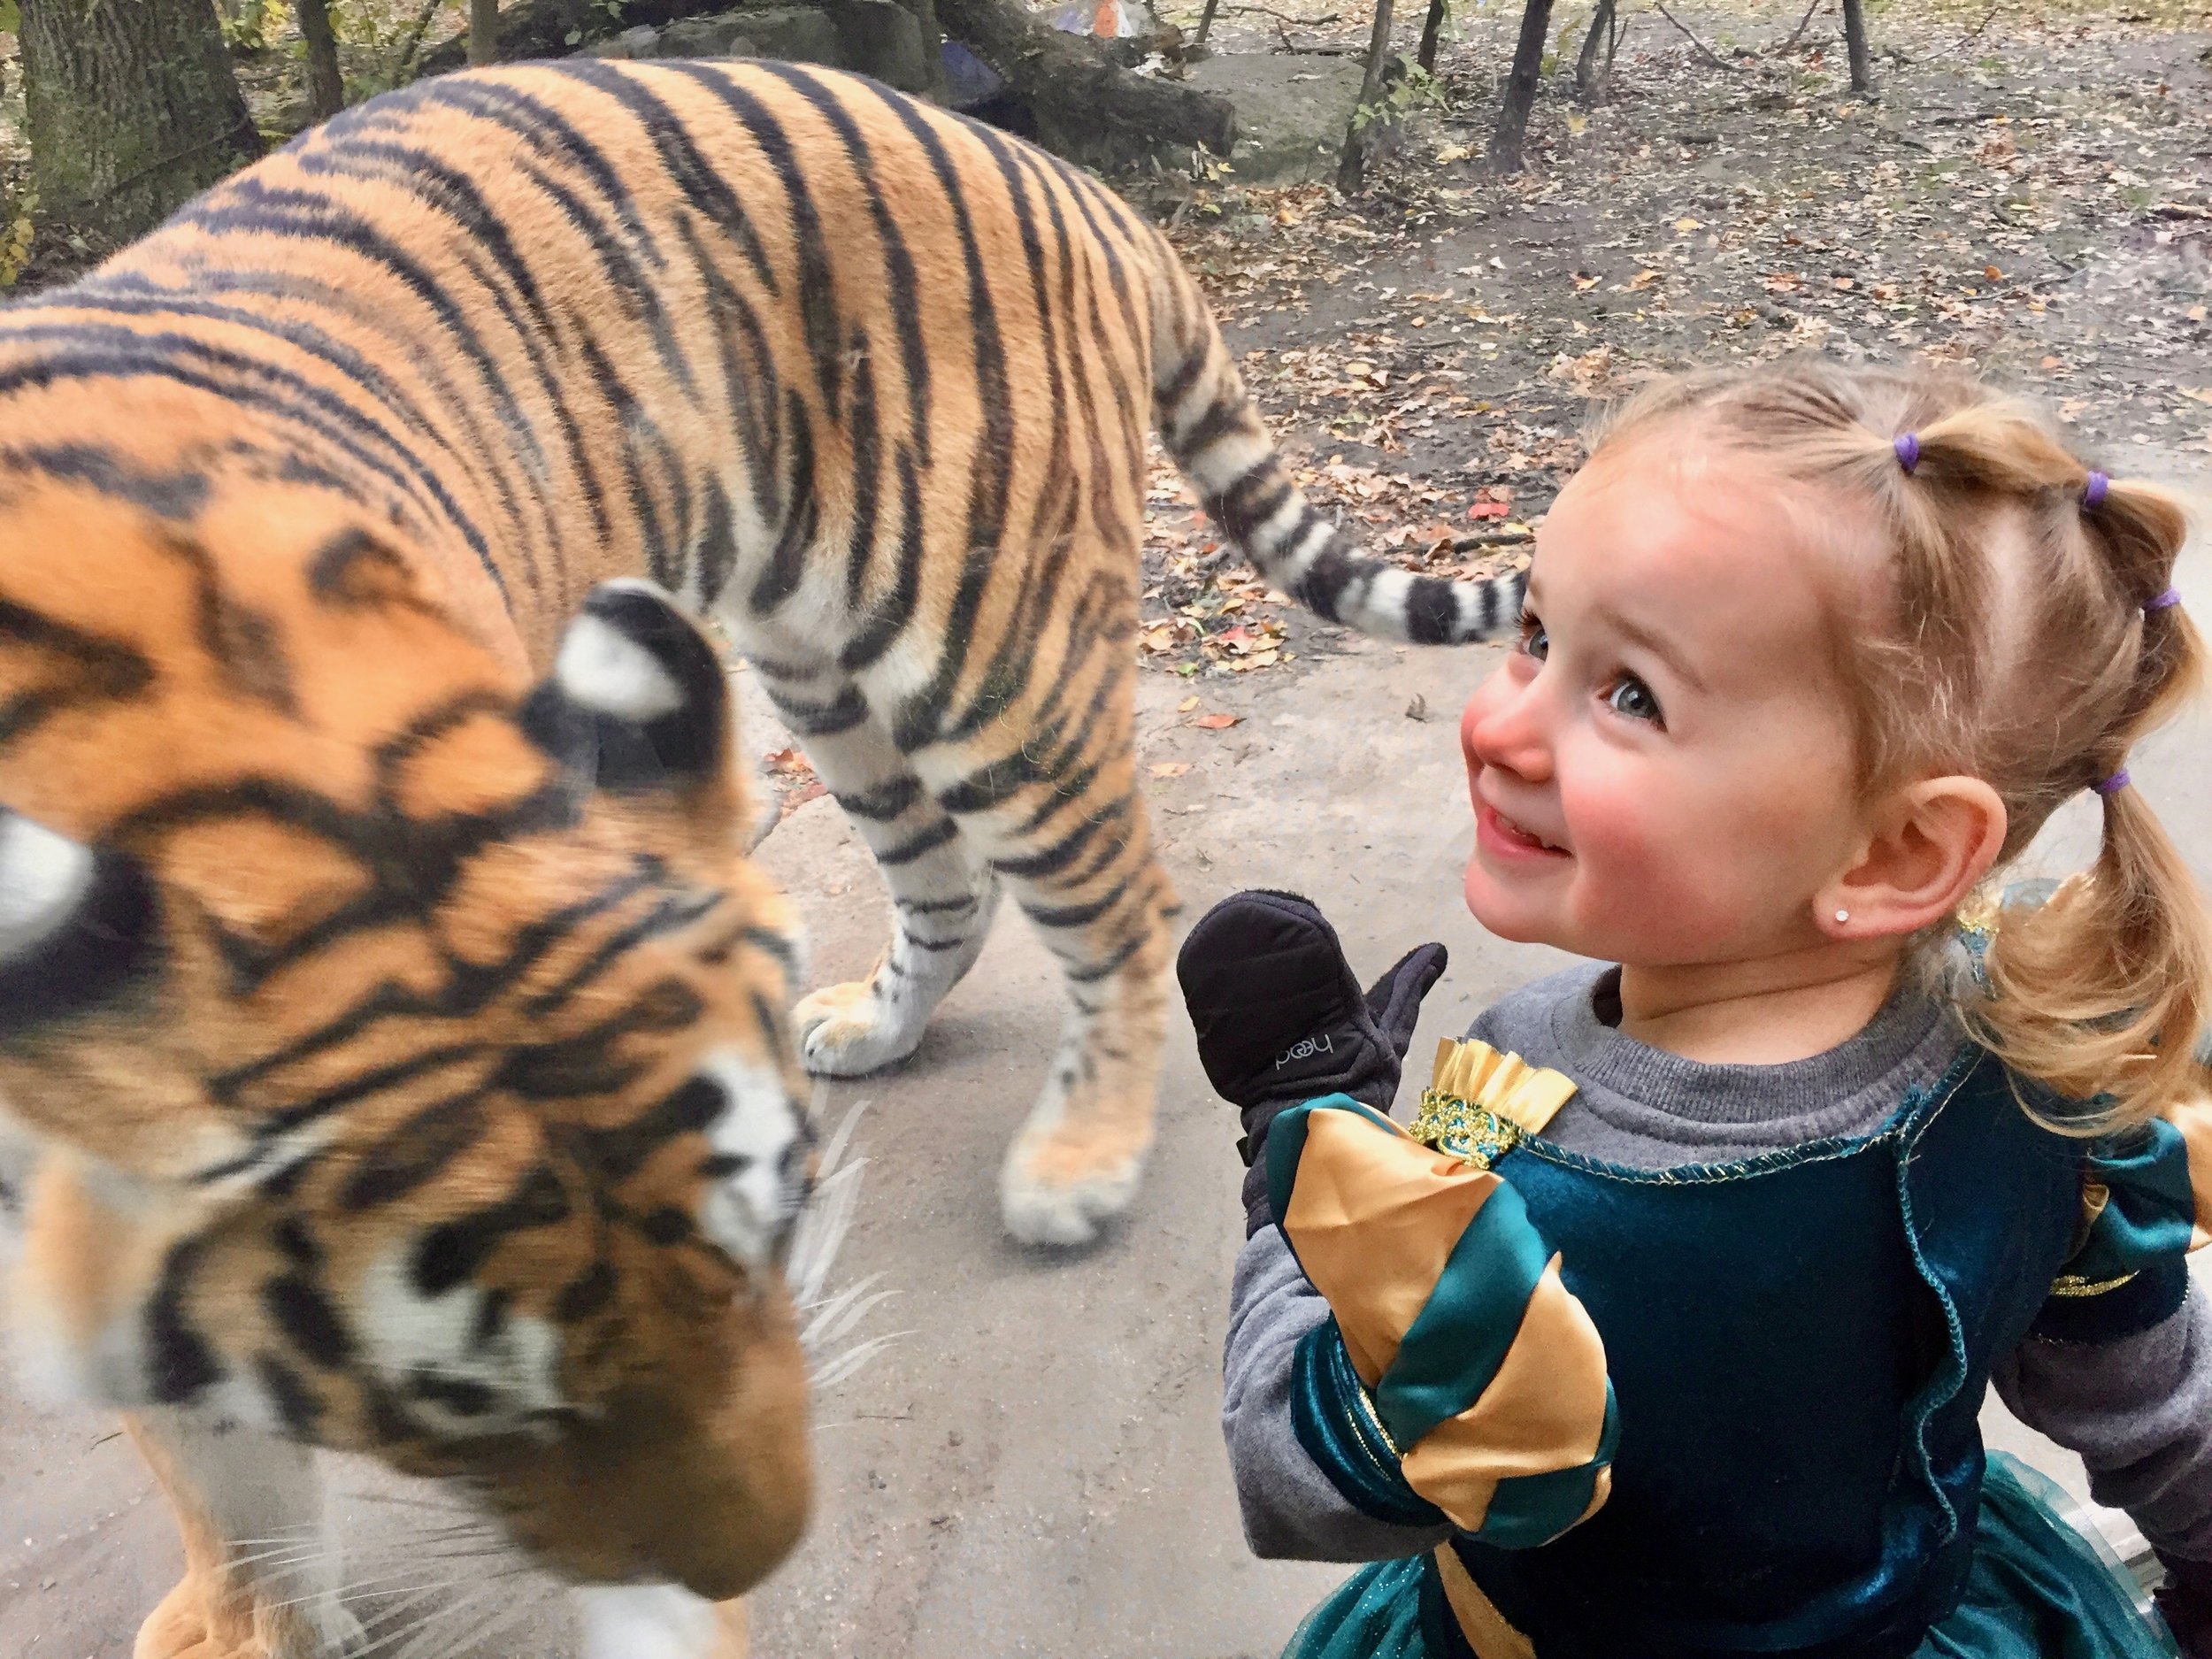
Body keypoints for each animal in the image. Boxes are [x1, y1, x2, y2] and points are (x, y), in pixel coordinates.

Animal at [0, 55, 1522, 1659]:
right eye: (467, 1396)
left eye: (774, 1231)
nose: (758, 1546)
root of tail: (1083, 190)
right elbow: (228, 1488)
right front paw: (253, 1614)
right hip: (812, 663)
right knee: (949, 881)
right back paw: (874, 1026)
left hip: (986, 641)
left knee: (1118, 903)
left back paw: (1078, 1165)